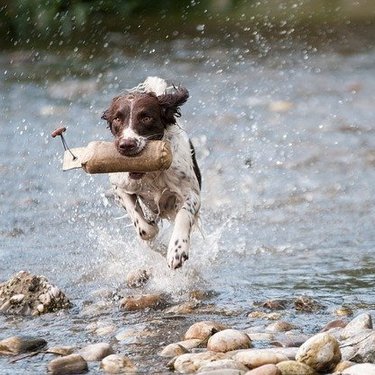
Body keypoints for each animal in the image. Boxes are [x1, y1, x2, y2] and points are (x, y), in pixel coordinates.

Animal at [102, 77, 203, 270]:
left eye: (146, 117)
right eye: (117, 118)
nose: (126, 145)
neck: (151, 174)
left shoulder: (191, 193)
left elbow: (184, 214)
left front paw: (177, 250)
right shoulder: (120, 187)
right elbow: (143, 228)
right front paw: (153, 235)